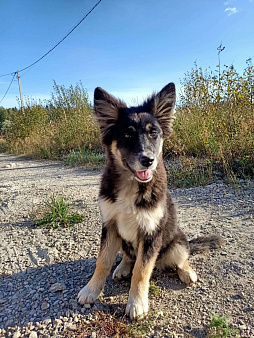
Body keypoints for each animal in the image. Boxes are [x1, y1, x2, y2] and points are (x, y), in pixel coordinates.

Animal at [77, 84, 224, 320]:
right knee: (128, 257)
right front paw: (91, 290)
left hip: (176, 241)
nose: (148, 160)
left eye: (153, 133)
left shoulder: (151, 232)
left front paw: (136, 303)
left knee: (182, 256)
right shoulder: (109, 226)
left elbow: (141, 270)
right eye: (127, 134)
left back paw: (187, 271)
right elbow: (103, 261)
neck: (131, 184)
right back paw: (122, 267)